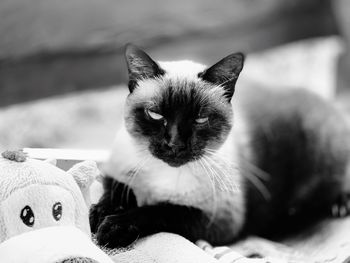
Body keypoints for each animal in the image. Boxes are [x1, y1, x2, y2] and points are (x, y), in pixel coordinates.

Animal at [88, 43, 350, 250]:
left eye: (200, 119)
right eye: (155, 115)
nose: (175, 145)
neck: (163, 176)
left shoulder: (218, 220)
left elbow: (161, 210)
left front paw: (112, 228)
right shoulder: (115, 170)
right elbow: (117, 189)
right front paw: (98, 215)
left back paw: (340, 204)